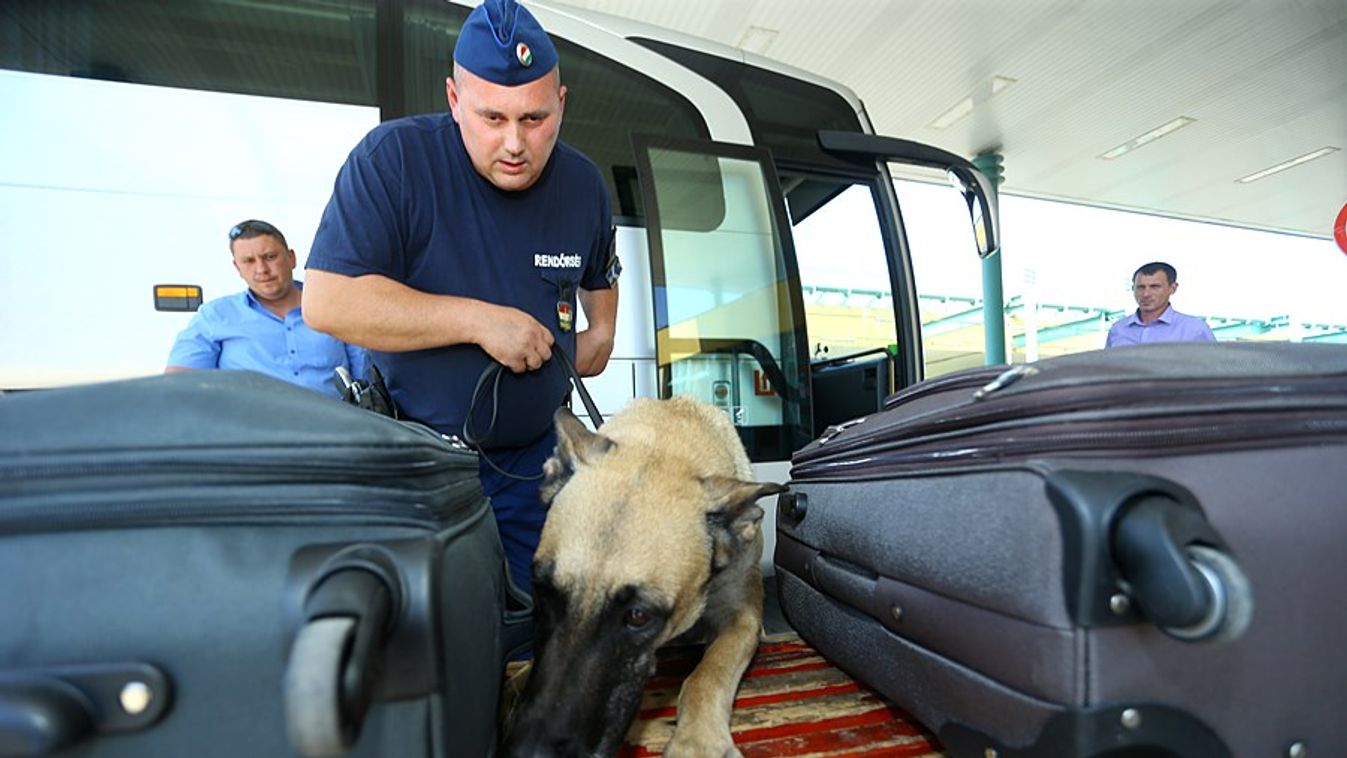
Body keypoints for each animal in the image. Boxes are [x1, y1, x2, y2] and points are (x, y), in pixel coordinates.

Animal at [501, 398, 786, 758]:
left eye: (638, 616)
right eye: (543, 590)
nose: (529, 751)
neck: (665, 441)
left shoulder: (744, 618)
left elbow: (708, 673)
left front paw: (698, 740)